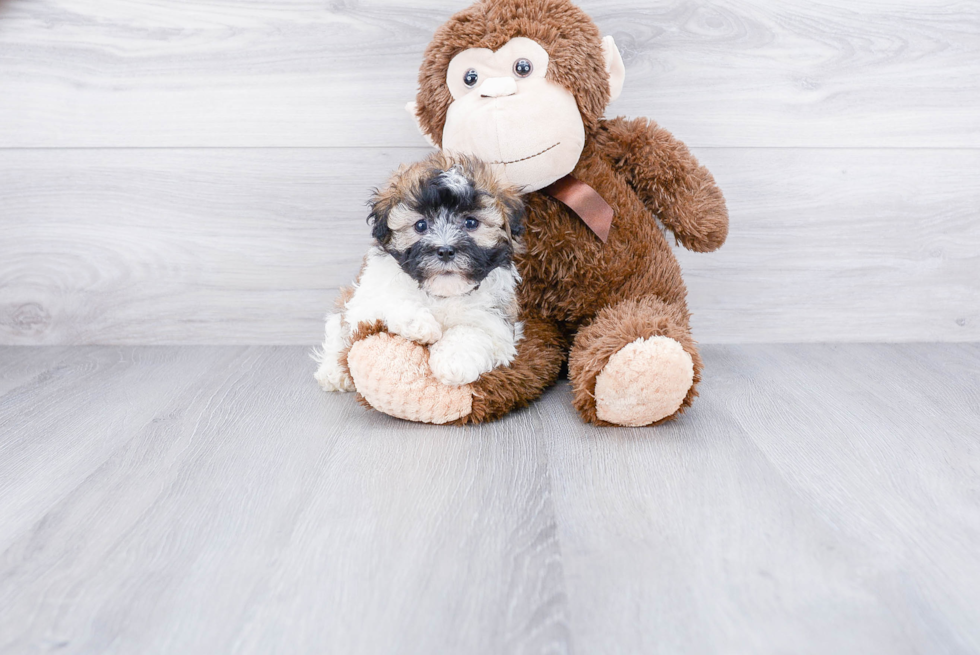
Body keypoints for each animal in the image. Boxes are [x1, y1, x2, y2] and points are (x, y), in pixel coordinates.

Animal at [318, 151, 524, 392]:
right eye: (421, 225)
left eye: (471, 222)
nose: (445, 251)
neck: (441, 293)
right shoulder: (365, 302)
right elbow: (388, 300)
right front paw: (420, 324)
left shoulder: (498, 322)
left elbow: (473, 332)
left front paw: (453, 361)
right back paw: (333, 373)